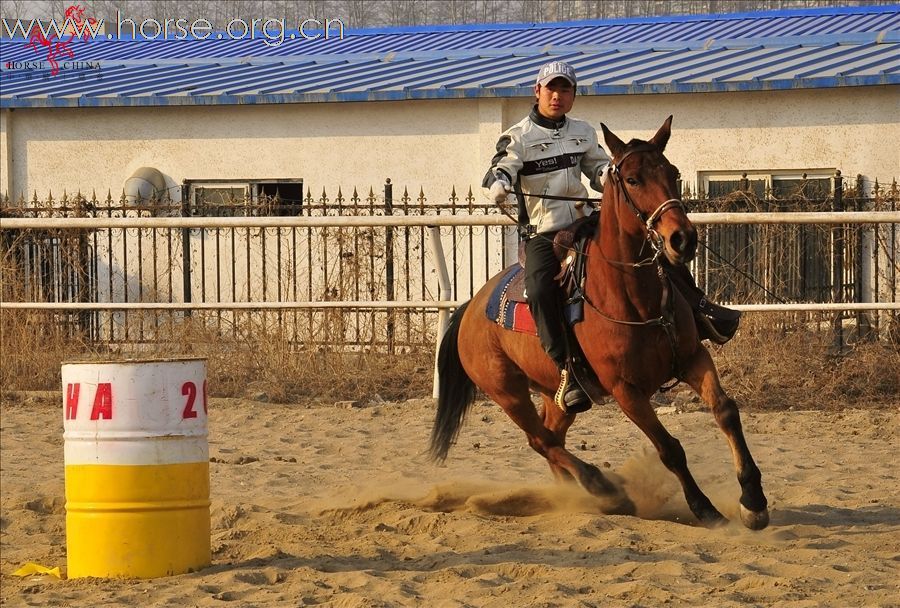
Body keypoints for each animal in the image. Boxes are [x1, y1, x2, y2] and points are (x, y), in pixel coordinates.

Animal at [428, 116, 768, 528]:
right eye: (633, 179)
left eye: (672, 172)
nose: (682, 239)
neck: (633, 297)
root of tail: (471, 307)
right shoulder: (626, 391)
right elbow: (669, 448)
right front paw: (704, 507)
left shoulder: (692, 359)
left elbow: (726, 411)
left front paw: (753, 500)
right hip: (507, 392)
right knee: (541, 440)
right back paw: (600, 485)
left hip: (556, 396)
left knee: (551, 439)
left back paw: (574, 494)